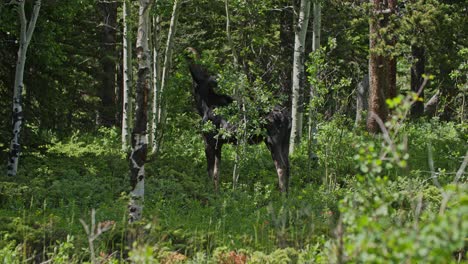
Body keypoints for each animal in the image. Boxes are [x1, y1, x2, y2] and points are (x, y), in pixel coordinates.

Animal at [187, 50, 290, 194]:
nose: (215, 80)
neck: (203, 106)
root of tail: (286, 116)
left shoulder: (209, 141)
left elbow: (209, 171)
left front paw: (209, 192)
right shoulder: (219, 144)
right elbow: (216, 172)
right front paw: (217, 192)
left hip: (272, 141)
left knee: (281, 167)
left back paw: (282, 195)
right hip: (285, 142)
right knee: (288, 166)